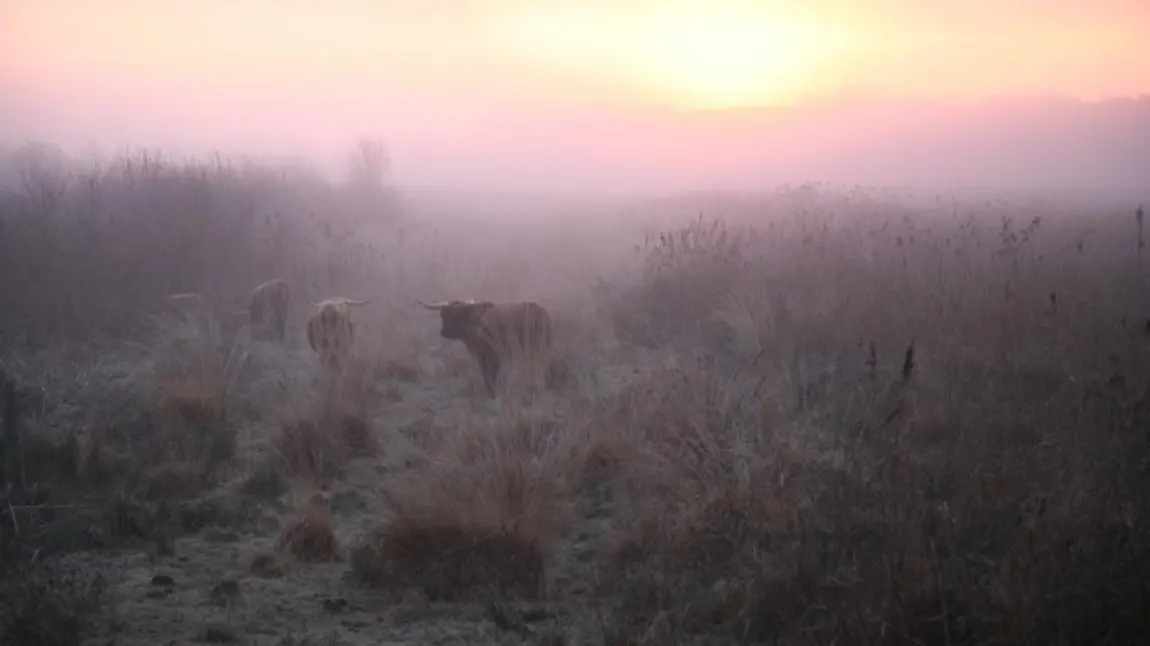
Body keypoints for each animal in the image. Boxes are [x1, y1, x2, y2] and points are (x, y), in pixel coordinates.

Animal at [418, 298, 552, 397]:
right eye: (443, 314)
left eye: (450, 315)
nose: (443, 332)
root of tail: (540, 311)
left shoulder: (487, 355)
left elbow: (489, 375)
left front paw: (492, 392)